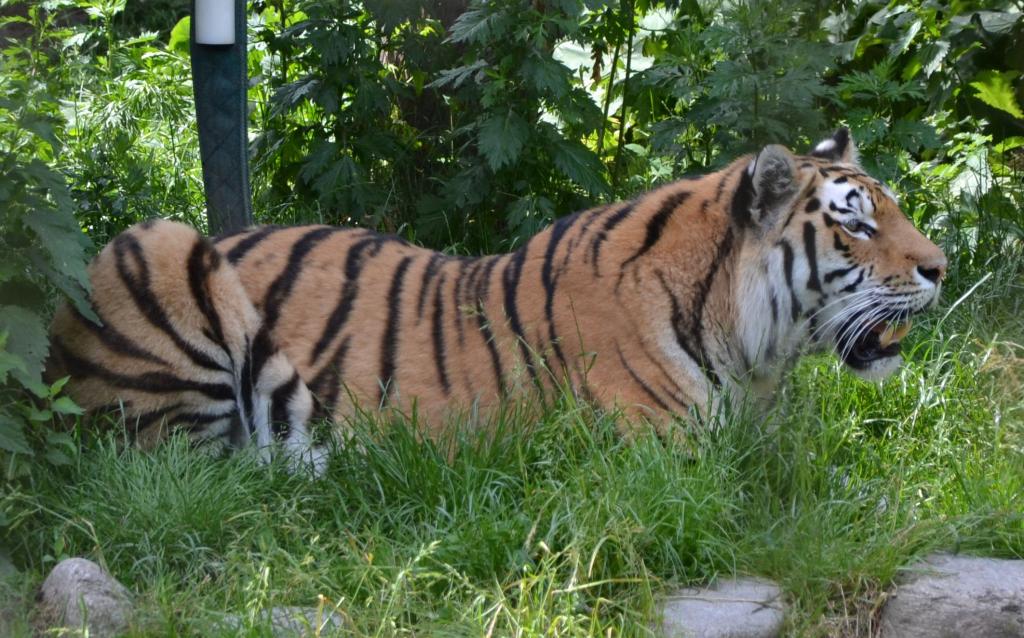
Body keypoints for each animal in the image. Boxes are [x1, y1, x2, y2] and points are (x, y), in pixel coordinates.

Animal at [47, 129, 946, 469]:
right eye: (856, 223)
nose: (941, 267)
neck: (756, 352)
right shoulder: (665, 459)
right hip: (156, 246)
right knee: (185, 469)